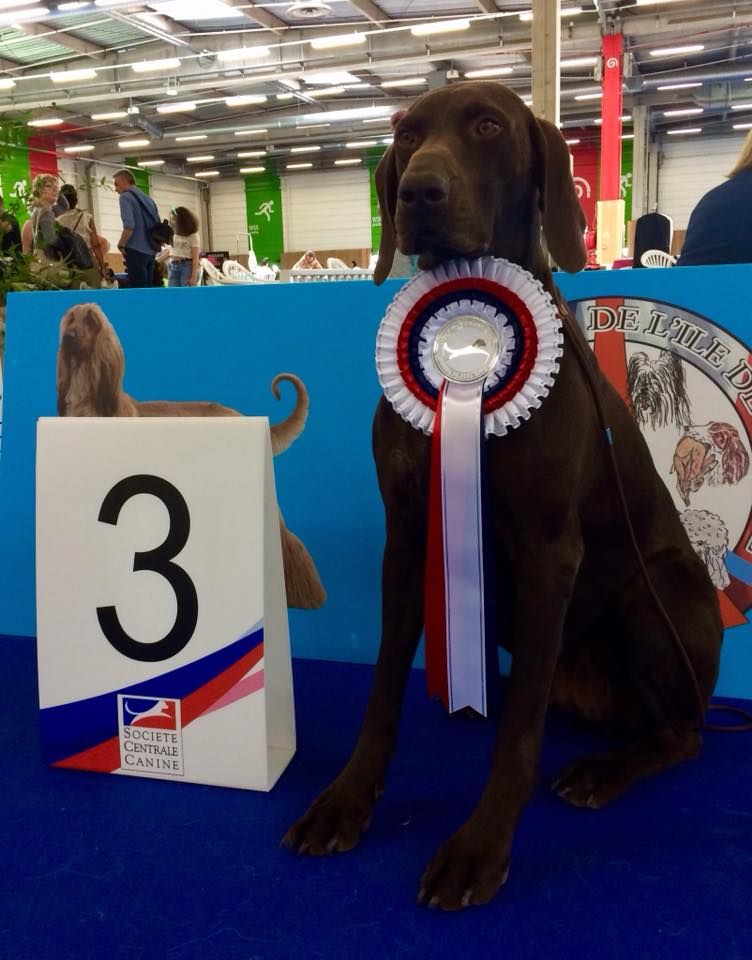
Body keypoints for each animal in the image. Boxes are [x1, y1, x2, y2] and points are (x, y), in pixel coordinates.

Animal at [284, 82, 724, 908]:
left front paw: (480, 844)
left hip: (657, 599)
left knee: (680, 733)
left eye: (487, 126)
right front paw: (347, 800)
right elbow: (382, 692)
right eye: (408, 136)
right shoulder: (409, 535)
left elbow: (517, 738)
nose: (420, 192)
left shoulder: (550, 548)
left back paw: (602, 770)